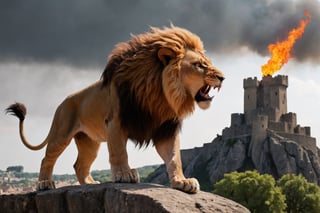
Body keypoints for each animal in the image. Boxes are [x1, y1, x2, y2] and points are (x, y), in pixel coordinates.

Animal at [6, 25, 224, 194]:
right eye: (199, 65)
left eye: (208, 63)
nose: (222, 77)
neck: (161, 95)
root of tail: (63, 102)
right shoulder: (116, 122)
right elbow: (119, 151)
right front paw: (125, 174)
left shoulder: (166, 129)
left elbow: (174, 157)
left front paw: (182, 181)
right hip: (61, 133)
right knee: (47, 158)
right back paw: (44, 183)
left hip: (90, 142)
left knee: (80, 165)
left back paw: (90, 183)